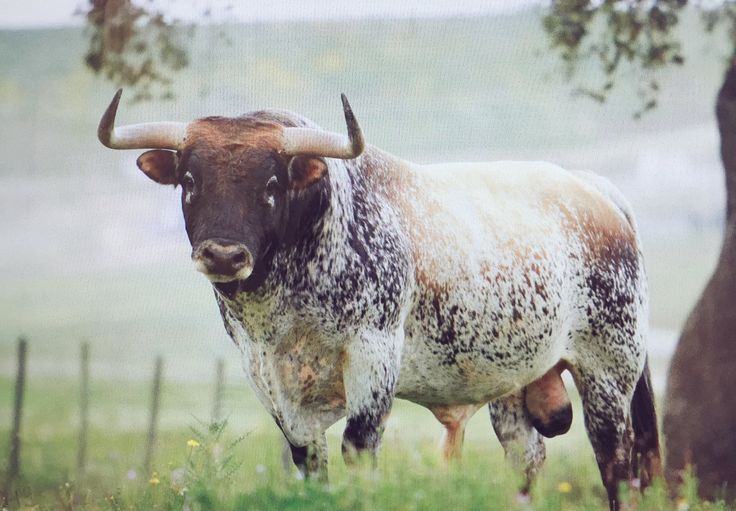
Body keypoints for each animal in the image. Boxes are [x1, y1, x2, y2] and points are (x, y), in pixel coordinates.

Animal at [96, 90, 660, 510]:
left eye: (272, 183)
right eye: (190, 181)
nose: (223, 254)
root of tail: (593, 189)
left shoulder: (374, 353)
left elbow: (359, 449)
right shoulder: (266, 373)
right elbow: (309, 460)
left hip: (609, 369)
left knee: (615, 461)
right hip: (513, 380)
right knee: (527, 457)